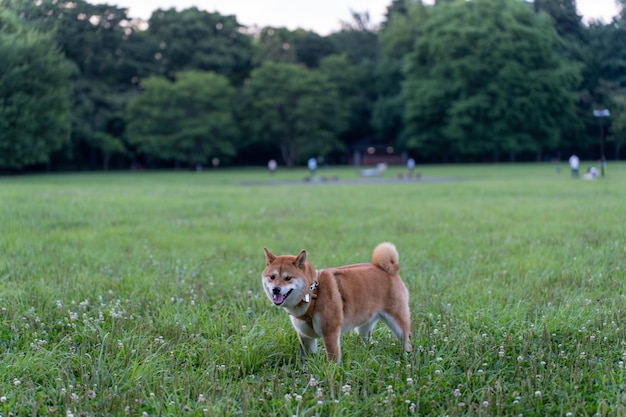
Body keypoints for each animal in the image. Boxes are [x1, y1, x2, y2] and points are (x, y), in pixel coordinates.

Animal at [258, 240, 410, 360]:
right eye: (272, 277)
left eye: (288, 278)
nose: (276, 289)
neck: (312, 294)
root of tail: (388, 269)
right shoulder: (305, 337)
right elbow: (310, 358)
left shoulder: (330, 333)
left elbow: (332, 361)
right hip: (363, 327)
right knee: (366, 340)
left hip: (398, 323)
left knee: (406, 340)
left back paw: (407, 357)